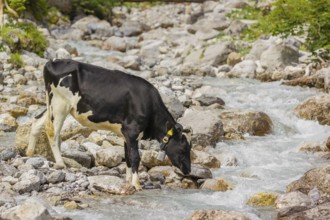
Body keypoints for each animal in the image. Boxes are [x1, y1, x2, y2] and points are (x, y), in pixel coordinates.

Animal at [27, 59, 192, 190]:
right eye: (183, 149)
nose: (189, 170)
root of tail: (52, 61)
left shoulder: (126, 134)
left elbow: (128, 157)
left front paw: (128, 181)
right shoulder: (132, 131)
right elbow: (136, 157)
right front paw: (137, 184)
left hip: (52, 104)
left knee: (37, 121)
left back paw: (29, 153)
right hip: (60, 104)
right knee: (52, 131)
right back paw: (61, 163)